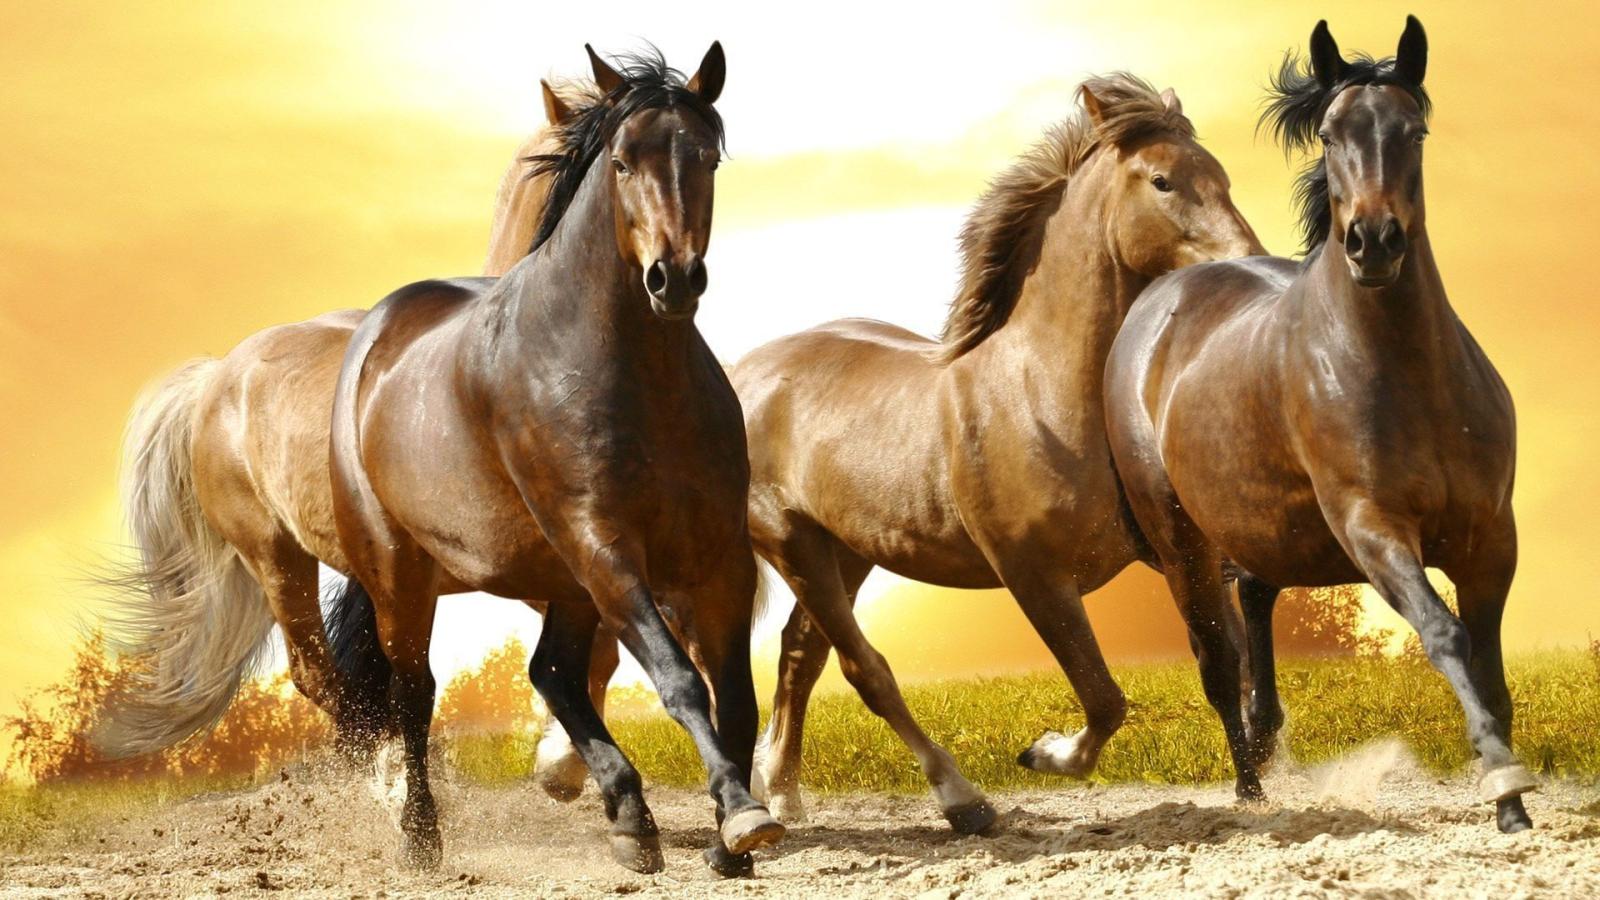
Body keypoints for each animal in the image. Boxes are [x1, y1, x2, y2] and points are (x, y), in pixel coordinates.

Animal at [324, 43, 786, 874]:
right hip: (404, 575)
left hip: (562, 579)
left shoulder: (718, 556)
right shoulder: (605, 545)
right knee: (416, 693)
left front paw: (732, 837)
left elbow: (733, 694)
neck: (637, 378)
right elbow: (679, 681)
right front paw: (741, 816)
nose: (674, 278)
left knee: (553, 673)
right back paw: (421, 837)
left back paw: (630, 817)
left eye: (707, 157)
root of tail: (373, 338)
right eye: (624, 161)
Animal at [729, 74, 1264, 830]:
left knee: (800, 656)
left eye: (1220, 175)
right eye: (1163, 180)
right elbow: (1105, 699)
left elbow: (1224, 663)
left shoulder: (1184, 553)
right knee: (865, 669)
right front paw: (1043, 752)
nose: (1247, 263)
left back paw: (782, 791)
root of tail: (745, 373)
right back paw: (963, 801)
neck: (1041, 391)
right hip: (793, 544)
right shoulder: (1033, 575)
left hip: (847, 552)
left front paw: (1258, 785)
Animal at [1103, 17, 1537, 833]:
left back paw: (1265, 741)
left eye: (1414, 130)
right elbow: (1446, 635)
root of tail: (1158, 300)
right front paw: (1504, 783)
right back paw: (1250, 791)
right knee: (1217, 661)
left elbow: (1492, 668)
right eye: (1332, 135)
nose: (1374, 241)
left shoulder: (1491, 538)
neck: (1408, 375)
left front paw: (1512, 800)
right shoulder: (1372, 527)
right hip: (1182, 542)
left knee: (1255, 602)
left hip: (1263, 526)